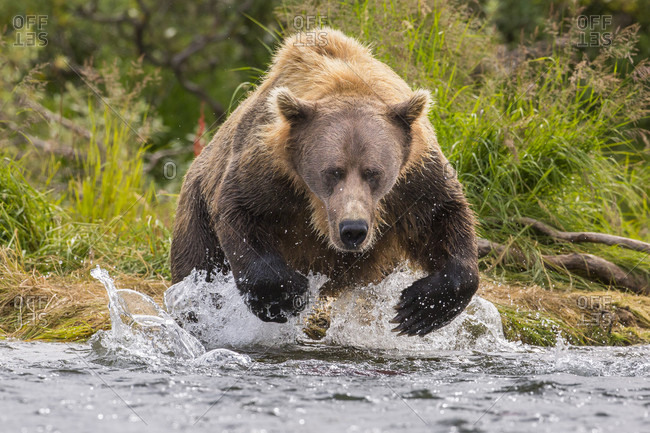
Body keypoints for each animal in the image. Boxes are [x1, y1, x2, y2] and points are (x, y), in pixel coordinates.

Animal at [171, 28, 476, 336]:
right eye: (332, 171)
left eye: (373, 172)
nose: (353, 230)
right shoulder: (269, 170)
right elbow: (241, 210)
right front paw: (285, 295)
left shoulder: (414, 178)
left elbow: (444, 215)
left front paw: (420, 307)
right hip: (196, 215)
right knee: (198, 265)